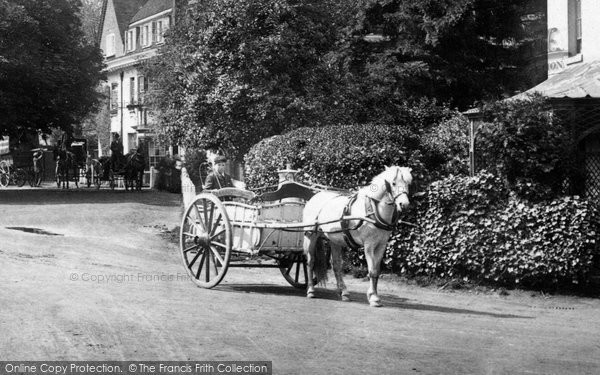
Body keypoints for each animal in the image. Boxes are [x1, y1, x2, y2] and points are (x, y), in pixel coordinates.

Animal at [302, 166, 410, 306]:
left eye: (408, 183)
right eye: (393, 183)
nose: (404, 204)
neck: (372, 211)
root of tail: (315, 196)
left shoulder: (381, 245)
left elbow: (376, 271)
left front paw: (374, 295)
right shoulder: (369, 245)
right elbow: (372, 271)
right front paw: (373, 297)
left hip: (334, 240)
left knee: (336, 265)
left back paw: (343, 292)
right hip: (311, 235)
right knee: (310, 261)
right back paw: (310, 290)